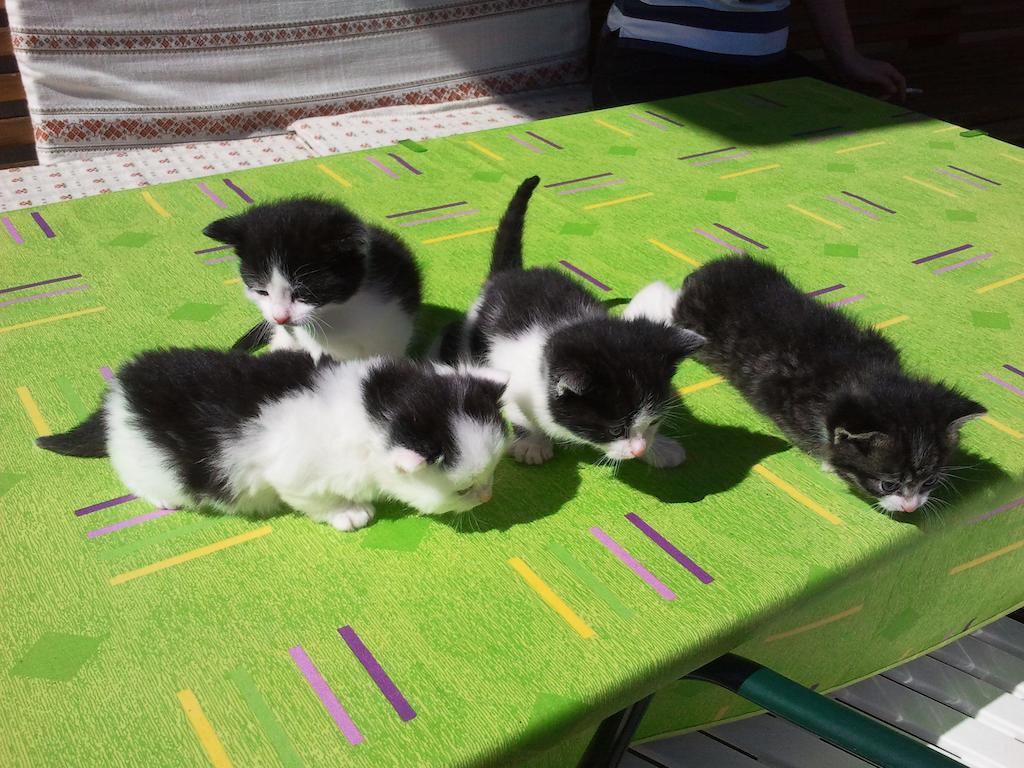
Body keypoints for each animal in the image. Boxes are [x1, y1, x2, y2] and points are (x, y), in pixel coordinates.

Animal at [37, 352, 509, 532]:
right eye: (464, 489)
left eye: (492, 475)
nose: (488, 497)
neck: (377, 405)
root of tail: (119, 391)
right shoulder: (295, 476)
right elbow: (318, 500)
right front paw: (349, 513)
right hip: (144, 459)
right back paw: (162, 499)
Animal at [436, 179, 708, 468]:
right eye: (615, 430)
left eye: (654, 422)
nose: (638, 450)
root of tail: (509, 274)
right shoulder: (509, 375)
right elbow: (518, 411)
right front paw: (533, 443)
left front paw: (660, 448)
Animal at [622, 259, 983, 518]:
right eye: (888, 483)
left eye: (930, 481)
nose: (912, 507)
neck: (864, 375)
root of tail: (706, 273)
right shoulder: (784, 397)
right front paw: (830, 462)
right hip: (691, 323)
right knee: (663, 302)